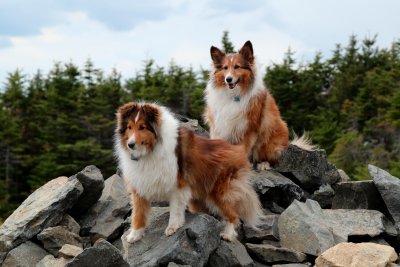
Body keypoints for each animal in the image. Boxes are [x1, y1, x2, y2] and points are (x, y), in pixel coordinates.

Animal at [114, 102, 262, 243]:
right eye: (129, 127)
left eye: (142, 127)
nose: (130, 144)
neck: (151, 149)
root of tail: (237, 150)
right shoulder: (139, 184)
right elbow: (138, 214)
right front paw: (134, 236)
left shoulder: (178, 186)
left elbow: (175, 210)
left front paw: (172, 227)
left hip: (219, 192)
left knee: (233, 214)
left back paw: (228, 234)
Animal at [203, 39, 312, 170]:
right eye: (225, 68)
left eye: (237, 67)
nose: (228, 79)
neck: (233, 95)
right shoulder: (219, 124)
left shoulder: (247, 127)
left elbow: (244, 148)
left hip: (269, 135)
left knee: (271, 159)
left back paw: (263, 164)